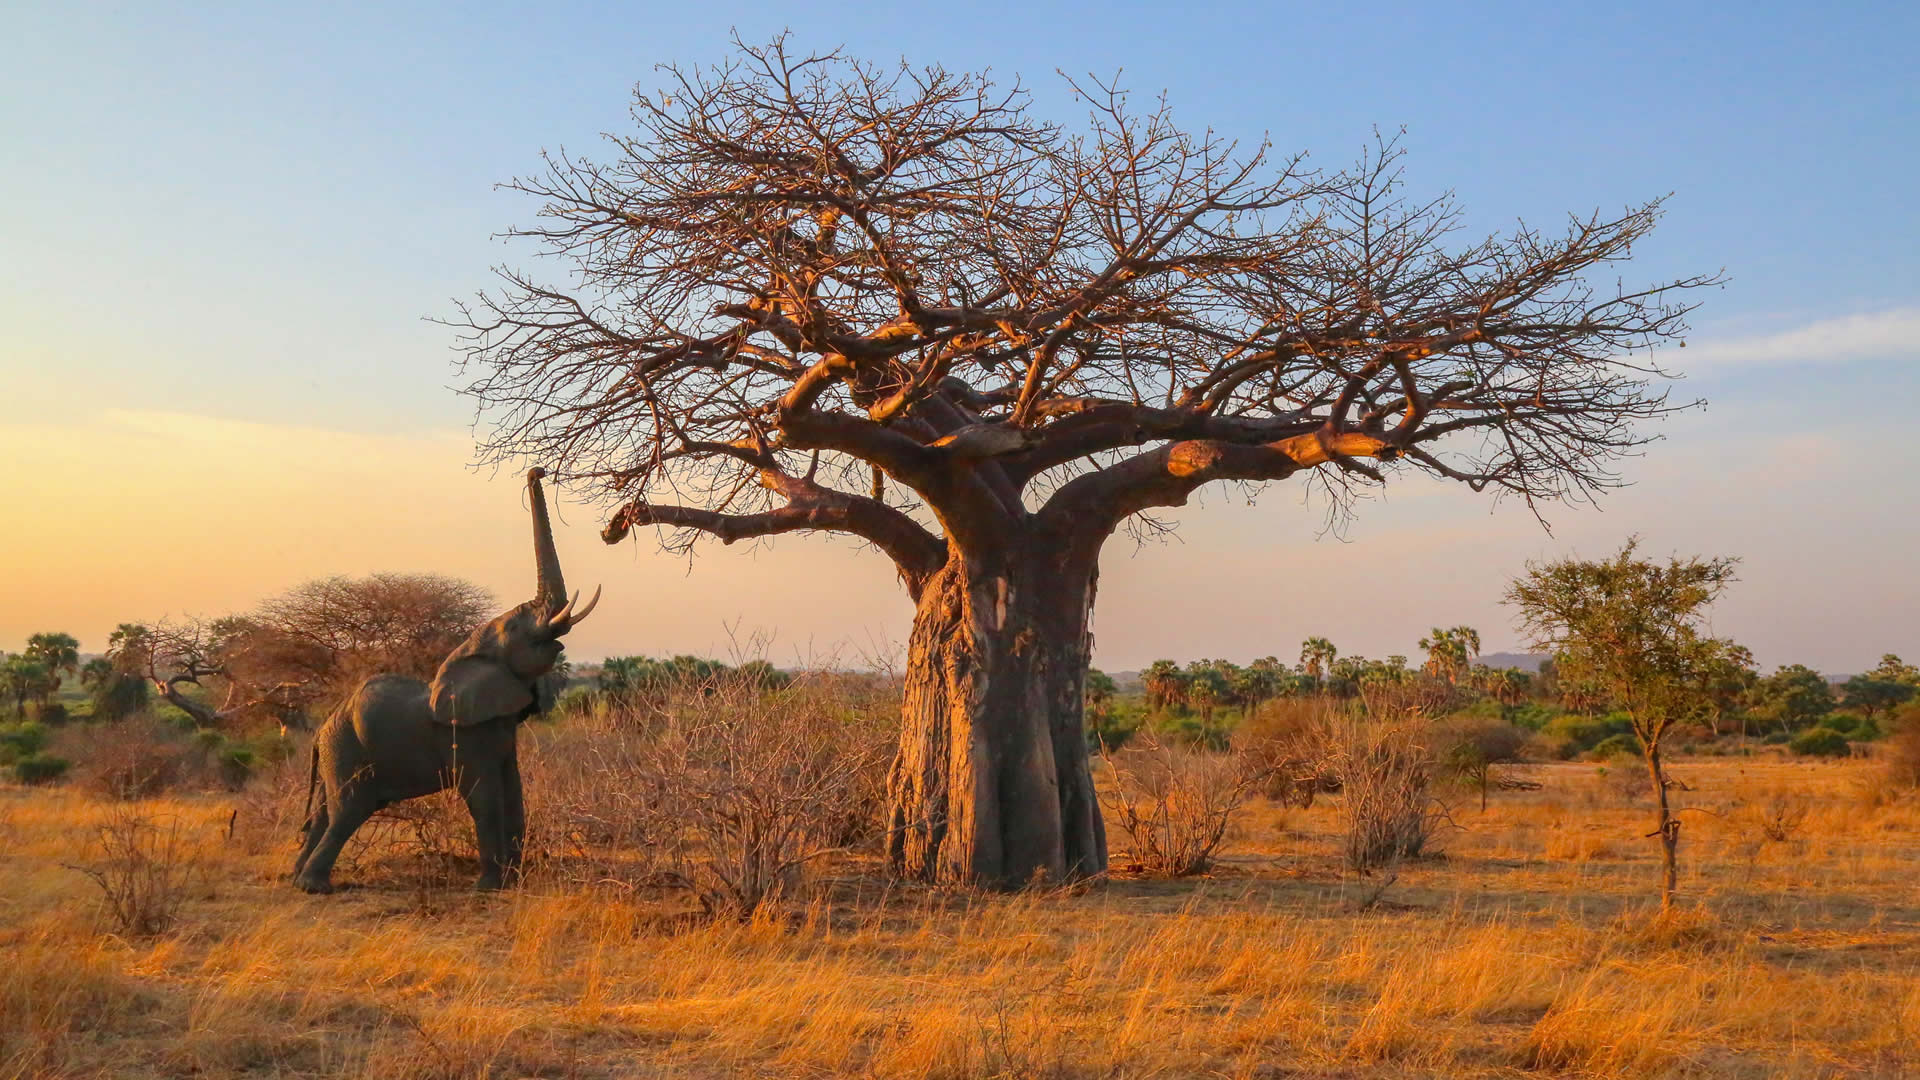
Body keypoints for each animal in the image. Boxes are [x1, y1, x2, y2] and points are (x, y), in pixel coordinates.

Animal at [288, 466, 591, 895]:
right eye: (516, 626)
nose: (538, 470)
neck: (470, 654)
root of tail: (321, 729)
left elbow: (513, 790)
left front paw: (513, 880)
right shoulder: (465, 736)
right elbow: (484, 797)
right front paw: (490, 887)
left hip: (338, 747)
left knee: (325, 812)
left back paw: (297, 879)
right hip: (348, 749)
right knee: (350, 807)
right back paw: (315, 887)